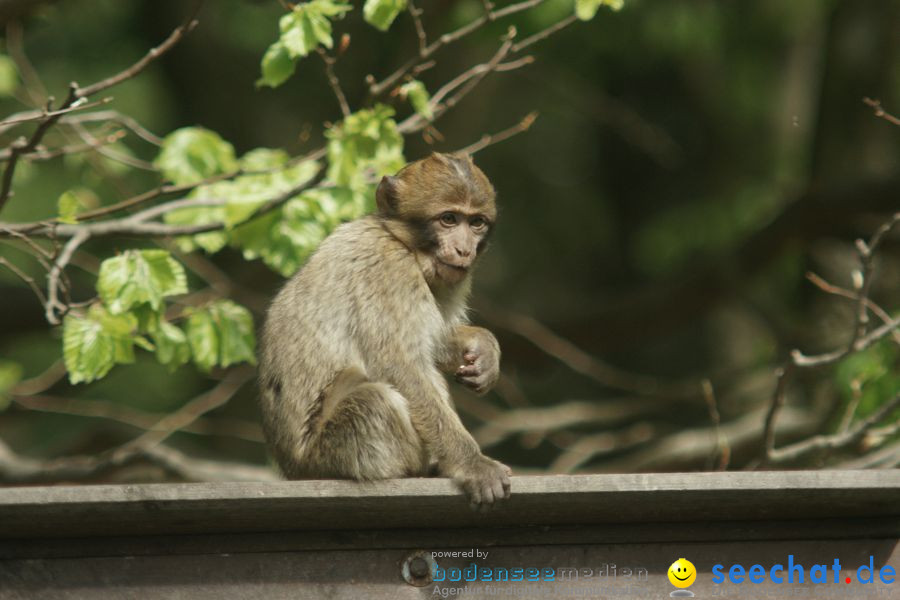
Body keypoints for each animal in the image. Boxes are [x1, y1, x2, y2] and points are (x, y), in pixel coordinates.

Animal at [260, 152, 510, 508]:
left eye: (476, 223)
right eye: (448, 219)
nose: (465, 250)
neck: (401, 242)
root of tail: (293, 471)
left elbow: (433, 341)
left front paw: (482, 347)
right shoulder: (389, 269)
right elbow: (400, 366)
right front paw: (472, 464)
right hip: (332, 454)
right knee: (376, 399)